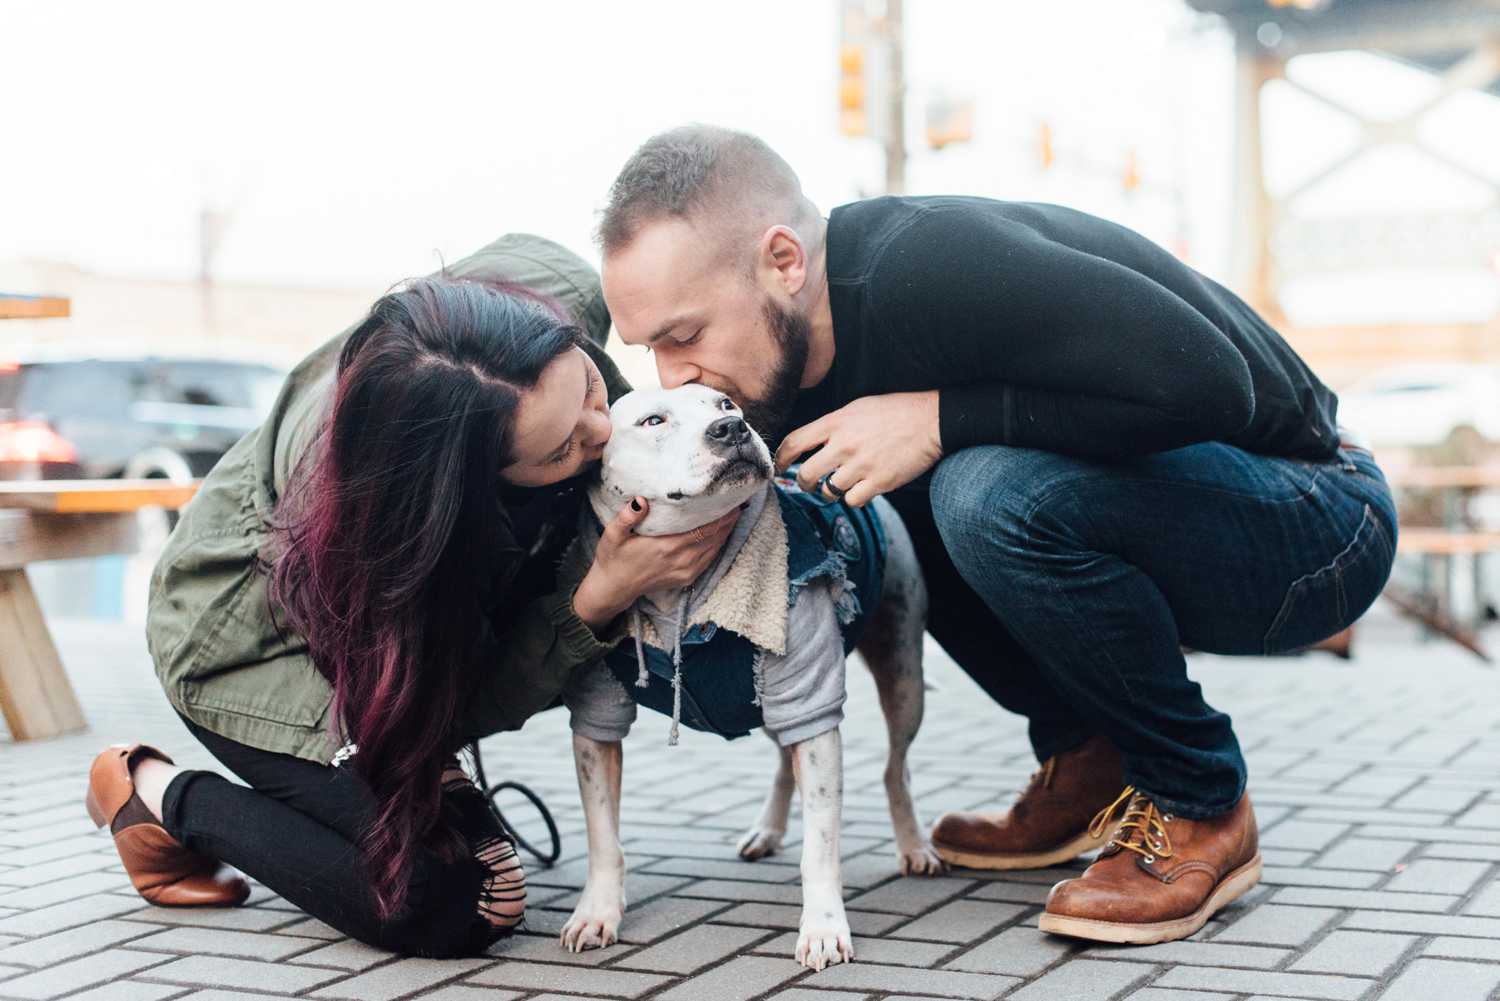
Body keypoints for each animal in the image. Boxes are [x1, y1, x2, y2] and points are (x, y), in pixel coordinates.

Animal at [558, 384, 942, 972]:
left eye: (725, 404)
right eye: (653, 420)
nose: (733, 429)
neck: (679, 593)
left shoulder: (810, 697)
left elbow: (821, 843)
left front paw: (823, 927)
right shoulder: (595, 716)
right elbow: (603, 834)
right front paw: (596, 913)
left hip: (902, 672)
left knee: (894, 767)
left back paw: (914, 845)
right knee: (786, 759)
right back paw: (768, 829)